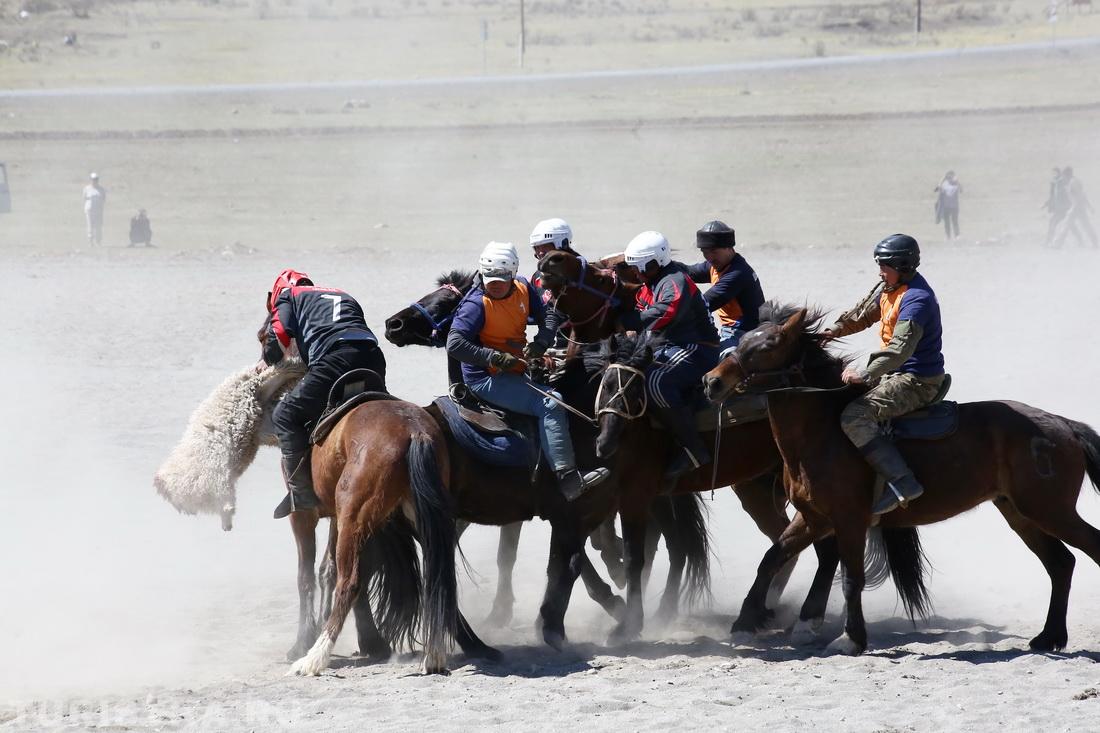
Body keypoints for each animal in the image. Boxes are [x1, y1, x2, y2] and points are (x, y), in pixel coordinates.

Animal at [699, 301, 1100, 651]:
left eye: (767, 347)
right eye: (743, 340)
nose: (711, 382)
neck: (823, 429)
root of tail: (1064, 425)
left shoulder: (849, 520)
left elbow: (851, 578)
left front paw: (851, 640)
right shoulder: (813, 518)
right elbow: (772, 557)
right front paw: (746, 623)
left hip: (1050, 511)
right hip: (1020, 514)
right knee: (1061, 563)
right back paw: (1049, 637)